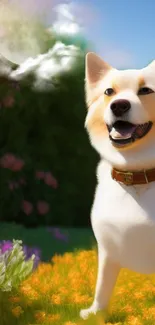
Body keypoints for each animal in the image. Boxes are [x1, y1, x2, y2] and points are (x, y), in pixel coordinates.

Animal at [80, 53, 155, 318]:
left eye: (146, 90)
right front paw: (95, 313)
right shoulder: (107, 247)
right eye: (109, 91)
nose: (119, 105)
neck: (137, 174)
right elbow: (102, 283)